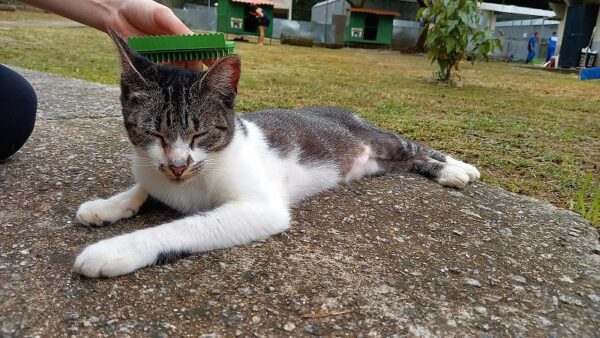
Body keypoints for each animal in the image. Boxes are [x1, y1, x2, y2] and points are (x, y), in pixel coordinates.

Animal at [72, 29, 480, 278]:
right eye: (153, 132)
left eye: (200, 133)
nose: (176, 165)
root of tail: (343, 111)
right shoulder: (152, 166)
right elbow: (143, 185)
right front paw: (108, 205)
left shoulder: (259, 207)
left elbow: (184, 226)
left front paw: (112, 250)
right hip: (378, 162)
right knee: (407, 161)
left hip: (379, 140)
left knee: (416, 148)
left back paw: (457, 169)